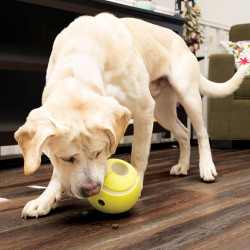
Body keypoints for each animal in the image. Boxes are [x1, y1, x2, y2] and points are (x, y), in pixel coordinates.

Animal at [14, 13, 247, 219]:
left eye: (99, 152)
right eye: (66, 158)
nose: (91, 190)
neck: (79, 60)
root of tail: (183, 42)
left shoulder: (143, 109)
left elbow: (139, 154)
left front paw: (138, 183)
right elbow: (57, 172)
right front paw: (45, 199)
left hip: (187, 96)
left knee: (201, 133)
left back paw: (206, 167)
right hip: (162, 110)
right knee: (182, 132)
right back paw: (182, 165)